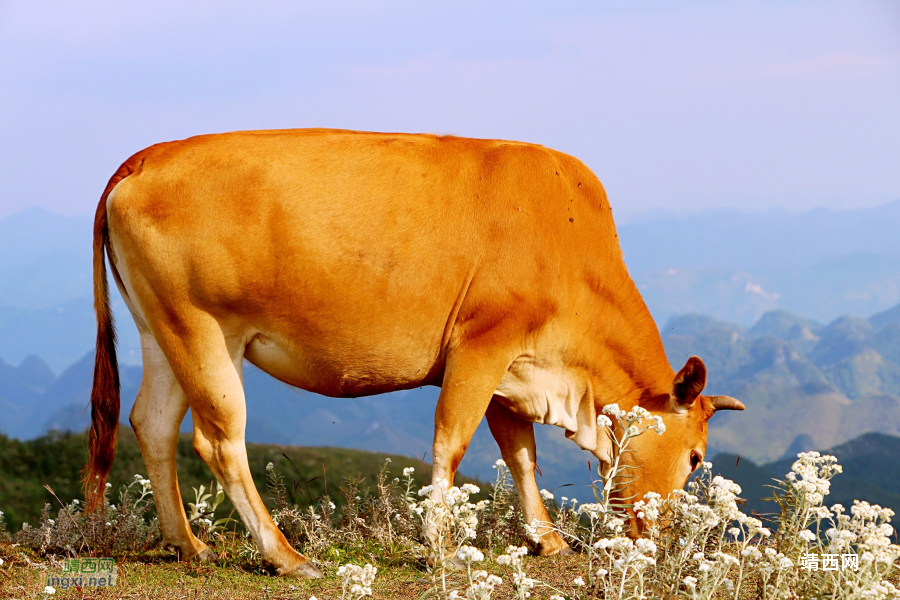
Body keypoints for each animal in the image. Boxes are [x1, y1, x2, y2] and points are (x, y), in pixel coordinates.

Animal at [82, 129, 744, 580]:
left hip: (161, 330)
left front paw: (545, 539)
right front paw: (442, 543)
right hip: (202, 329)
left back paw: (188, 545)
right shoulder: (482, 343)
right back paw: (285, 556)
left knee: (152, 422)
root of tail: (150, 154)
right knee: (219, 440)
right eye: (694, 458)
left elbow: (520, 455)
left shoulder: (511, 367)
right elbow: (452, 441)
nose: (661, 537)